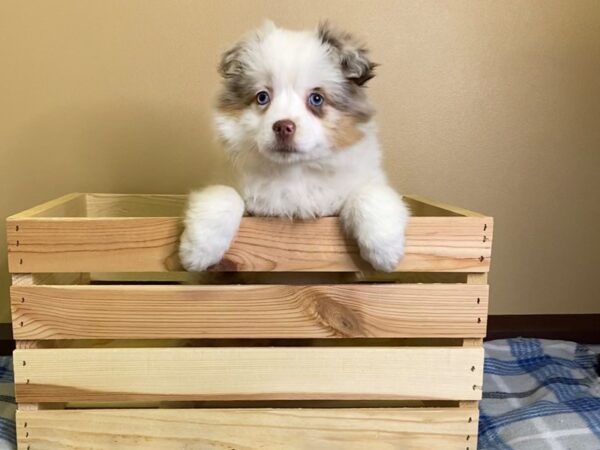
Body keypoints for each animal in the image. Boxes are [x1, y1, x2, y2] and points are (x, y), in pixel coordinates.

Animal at [180, 22, 410, 270]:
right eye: (262, 97)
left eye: (316, 98)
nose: (283, 127)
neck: (293, 172)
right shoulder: (228, 181)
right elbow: (223, 193)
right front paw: (198, 250)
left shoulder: (357, 185)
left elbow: (369, 194)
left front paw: (384, 249)